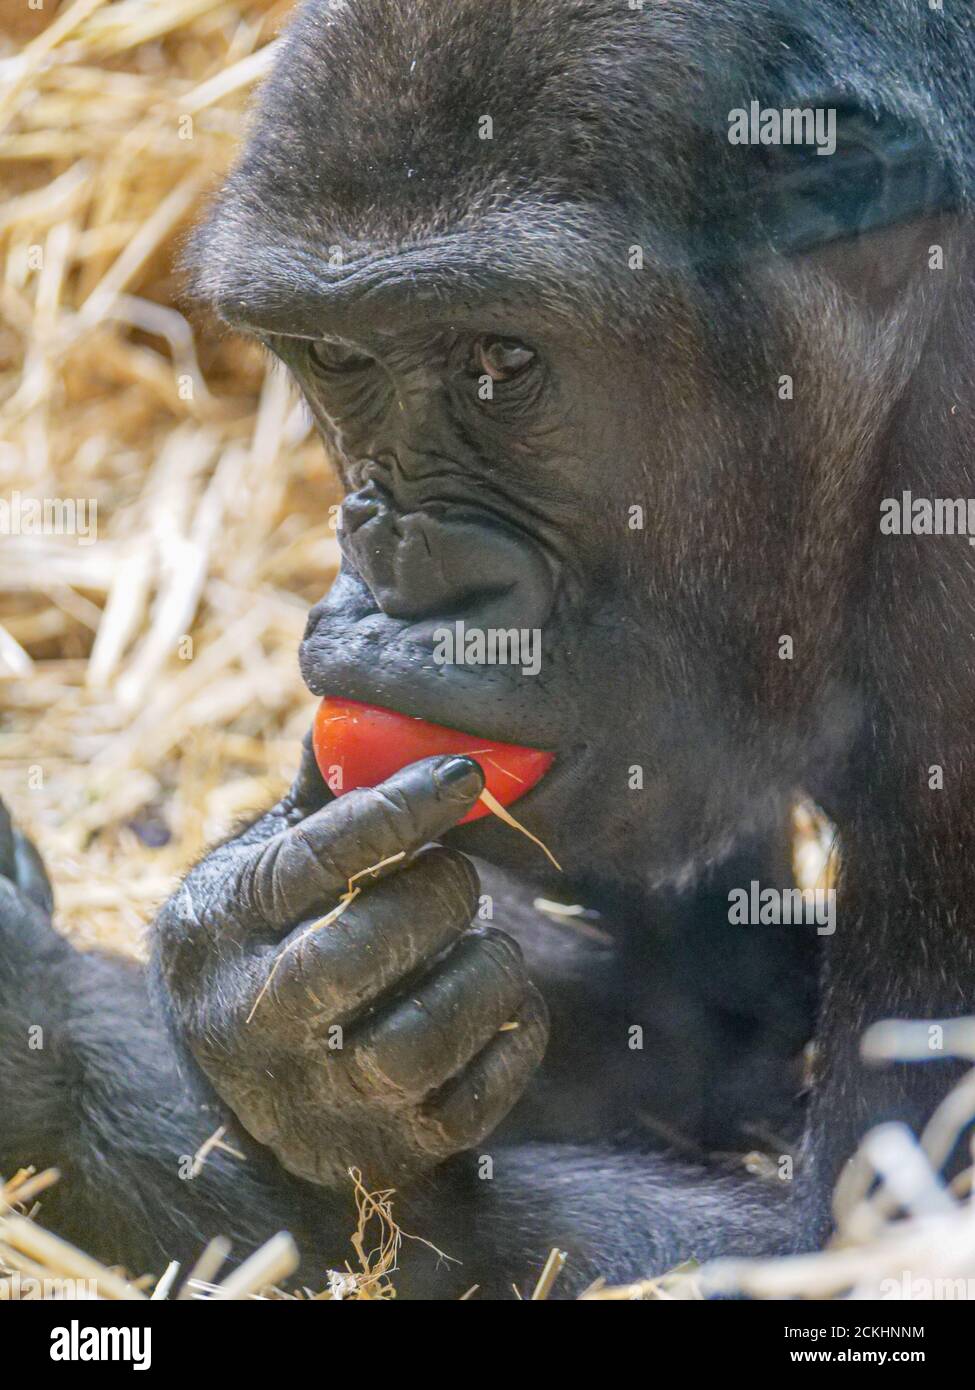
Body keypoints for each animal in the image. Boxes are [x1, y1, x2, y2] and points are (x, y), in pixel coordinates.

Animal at [1, 0, 973, 1301]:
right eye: (339, 359)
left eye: (504, 362)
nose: (402, 562)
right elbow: (716, 1007)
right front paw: (267, 1000)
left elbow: (856, 1238)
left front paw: (47, 1022)